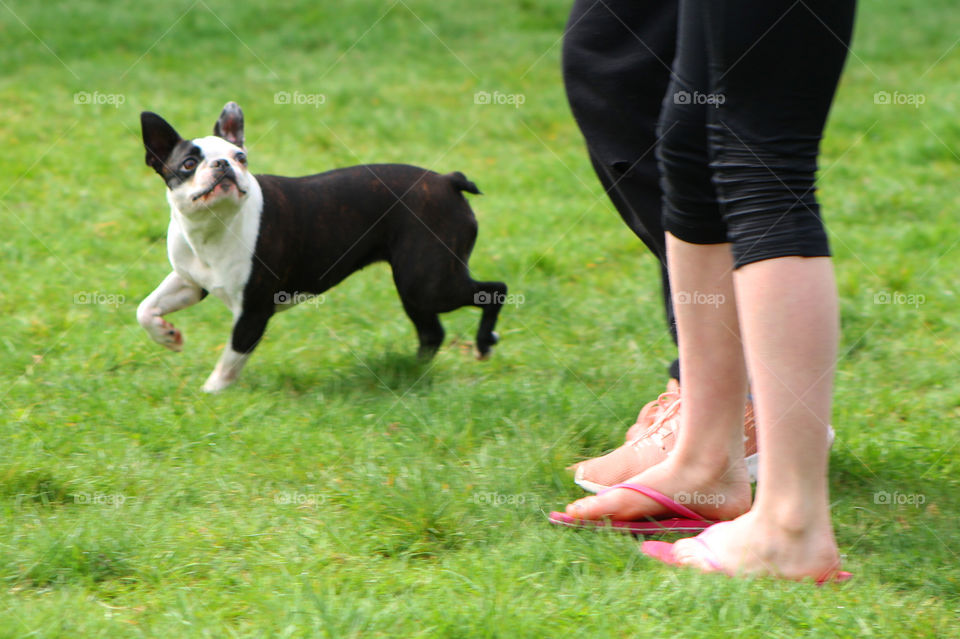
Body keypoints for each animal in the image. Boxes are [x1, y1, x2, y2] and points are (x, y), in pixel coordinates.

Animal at [140, 102, 510, 392]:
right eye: (189, 164)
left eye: (240, 157)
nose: (224, 165)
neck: (212, 226)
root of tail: (448, 181)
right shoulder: (190, 281)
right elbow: (145, 309)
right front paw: (167, 335)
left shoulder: (253, 310)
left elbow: (231, 357)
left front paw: (210, 395)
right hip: (415, 286)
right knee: (432, 332)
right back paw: (415, 372)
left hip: (428, 283)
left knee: (495, 290)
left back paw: (483, 344)